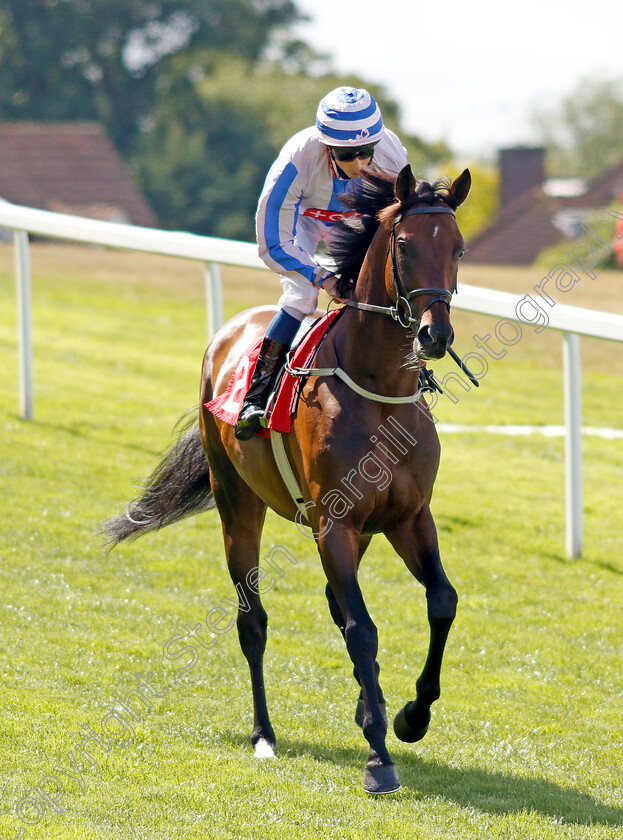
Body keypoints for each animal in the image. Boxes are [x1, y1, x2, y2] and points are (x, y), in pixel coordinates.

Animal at [103, 162, 472, 796]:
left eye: (458, 247)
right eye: (404, 245)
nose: (435, 335)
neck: (379, 392)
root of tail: (229, 332)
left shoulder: (407, 516)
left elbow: (441, 603)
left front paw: (410, 716)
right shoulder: (335, 523)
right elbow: (362, 627)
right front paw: (379, 755)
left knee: (334, 603)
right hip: (237, 502)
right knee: (253, 621)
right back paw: (265, 735)